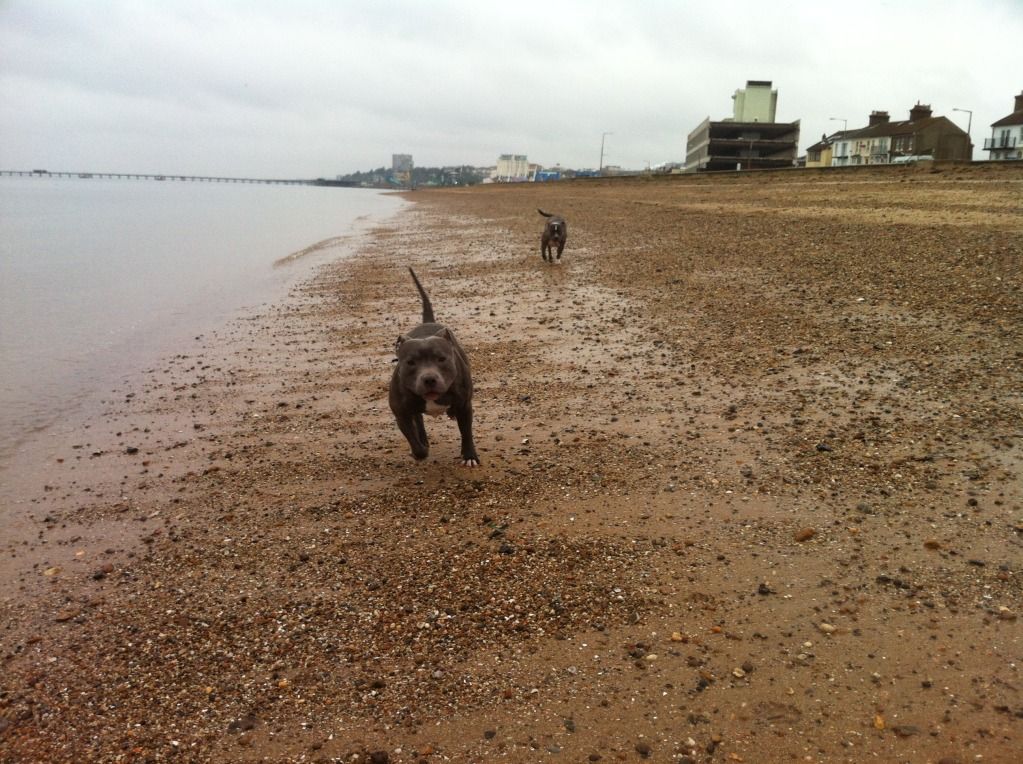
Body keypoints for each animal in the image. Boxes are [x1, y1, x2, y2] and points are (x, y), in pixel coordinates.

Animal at [386, 272, 478, 468]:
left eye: (441, 359)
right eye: (410, 362)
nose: (429, 379)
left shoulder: (465, 406)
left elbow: (466, 432)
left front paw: (469, 456)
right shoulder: (401, 414)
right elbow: (413, 440)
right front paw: (420, 451)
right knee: (419, 420)